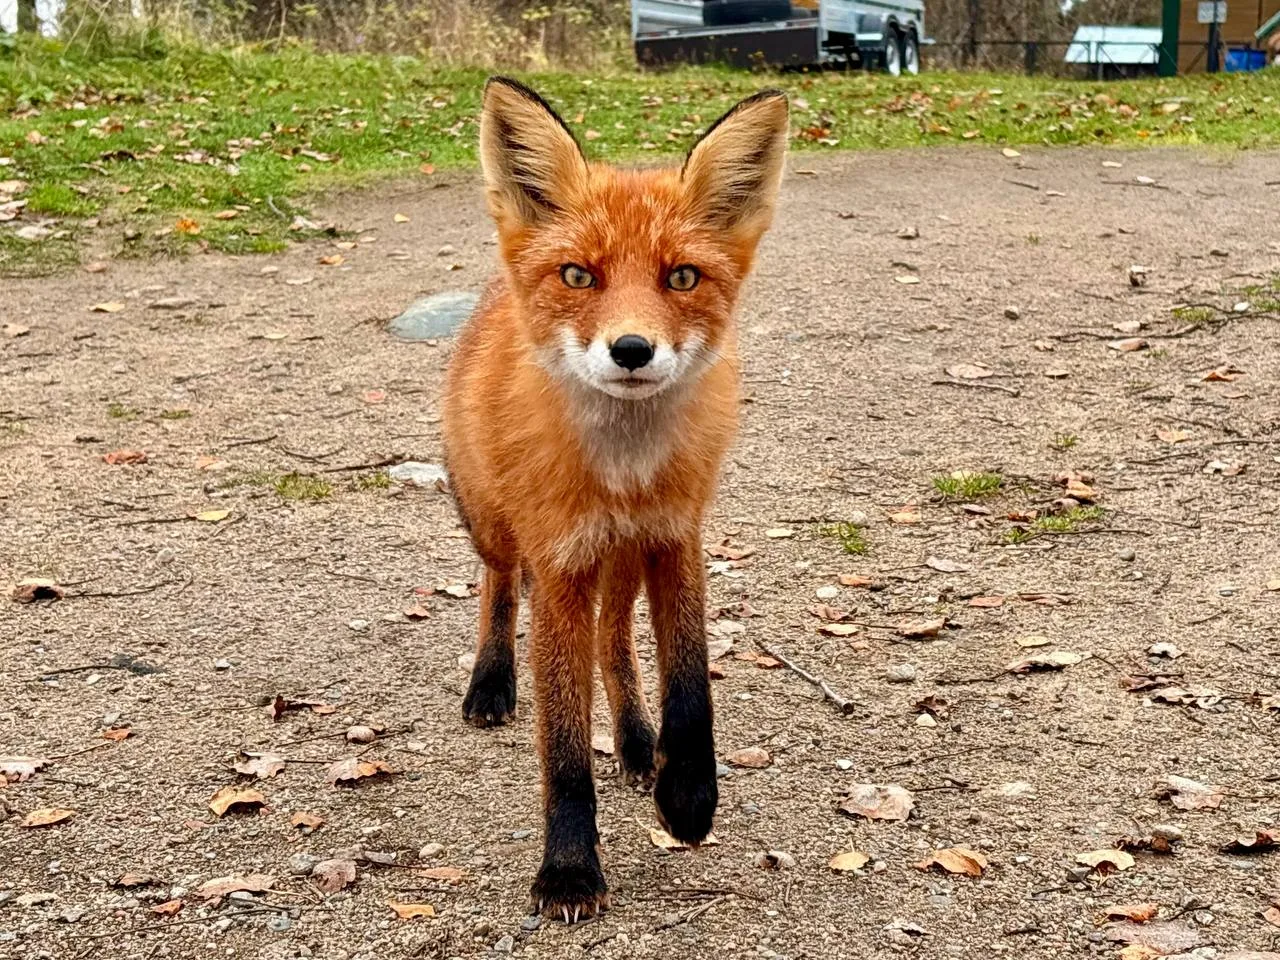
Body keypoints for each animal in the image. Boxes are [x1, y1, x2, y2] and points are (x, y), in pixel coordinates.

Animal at [441, 76, 789, 923]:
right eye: (579, 276)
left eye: (681, 277)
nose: (632, 350)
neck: (624, 471)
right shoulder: (561, 564)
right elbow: (563, 743)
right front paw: (568, 870)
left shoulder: (675, 536)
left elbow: (690, 684)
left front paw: (687, 796)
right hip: (497, 527)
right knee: (498, 588)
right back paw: (491, 681)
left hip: (623, 558)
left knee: (613, 645)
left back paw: (636, 742)